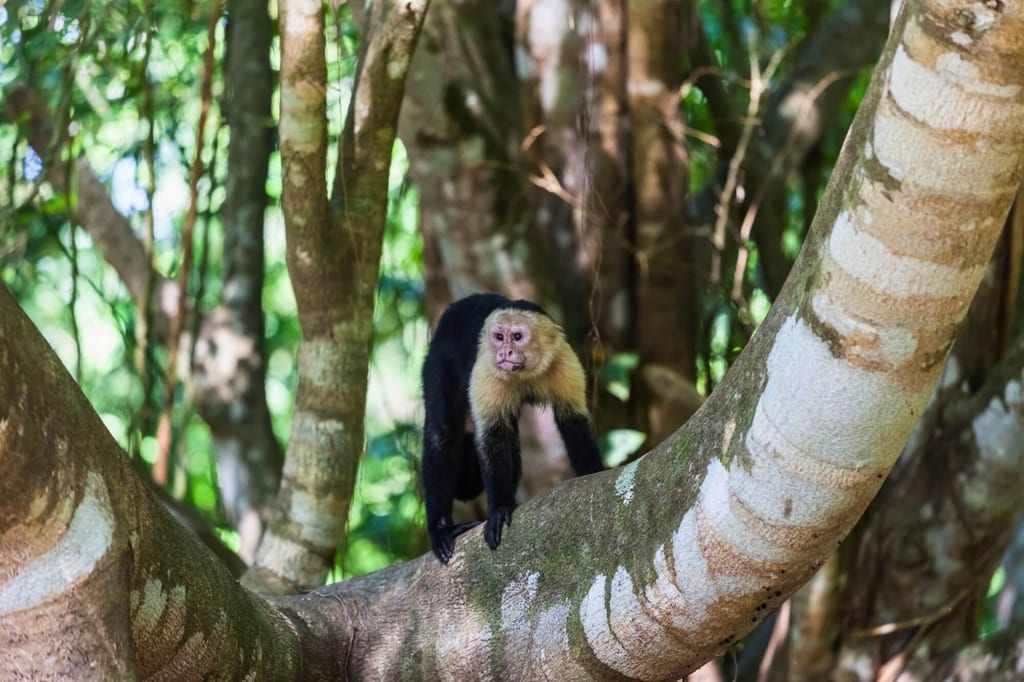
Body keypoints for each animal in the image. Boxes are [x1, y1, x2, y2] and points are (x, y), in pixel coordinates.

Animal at [421, 293, 605, 564]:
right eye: (499, 337)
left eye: (517, 337)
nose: (505, 351)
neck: (525, 373)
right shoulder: (486, 368)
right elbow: (491, 436)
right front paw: (499, 508)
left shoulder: (563, 360)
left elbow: (572, 422)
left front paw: (593, 474)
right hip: (438, 358)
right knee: (442, 432)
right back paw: (441, 529)